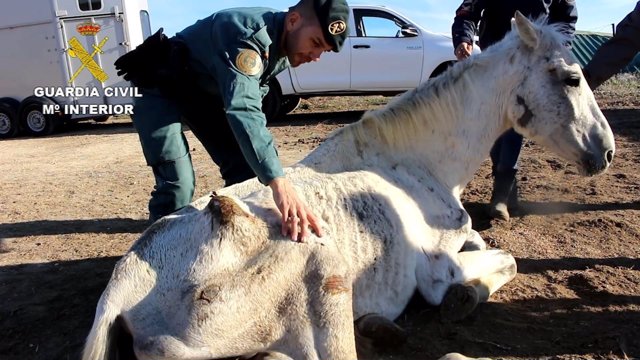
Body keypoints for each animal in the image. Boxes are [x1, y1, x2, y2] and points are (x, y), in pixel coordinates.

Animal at [82, 11, 612, 360]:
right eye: (571, 77)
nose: (604, 152)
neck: (414, 166)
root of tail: (125, 286)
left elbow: (485, 243)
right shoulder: (436, 271)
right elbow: (503, 262)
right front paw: (464, 298)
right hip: (327, 282)